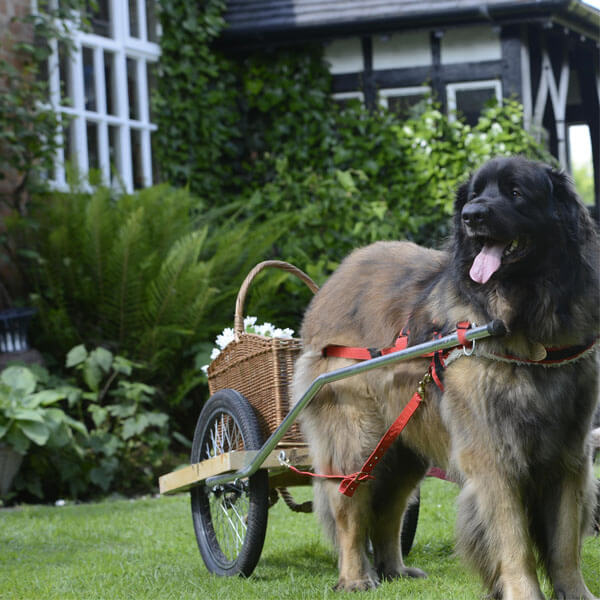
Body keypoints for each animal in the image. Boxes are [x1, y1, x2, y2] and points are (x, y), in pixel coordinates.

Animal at [294, 157, 600, 596]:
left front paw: (576, 594)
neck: (526, 324)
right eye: (474, 194)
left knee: (390, 508)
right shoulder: (494, 455)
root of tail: (334, 279)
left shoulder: (568, 455)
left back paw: (395, 569)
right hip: (357, 440)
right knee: (350, 508)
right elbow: (513, 541)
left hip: (404, 445)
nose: (472, 216)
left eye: (516, 192)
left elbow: (565, 543)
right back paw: (356, 578)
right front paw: (524, 592)